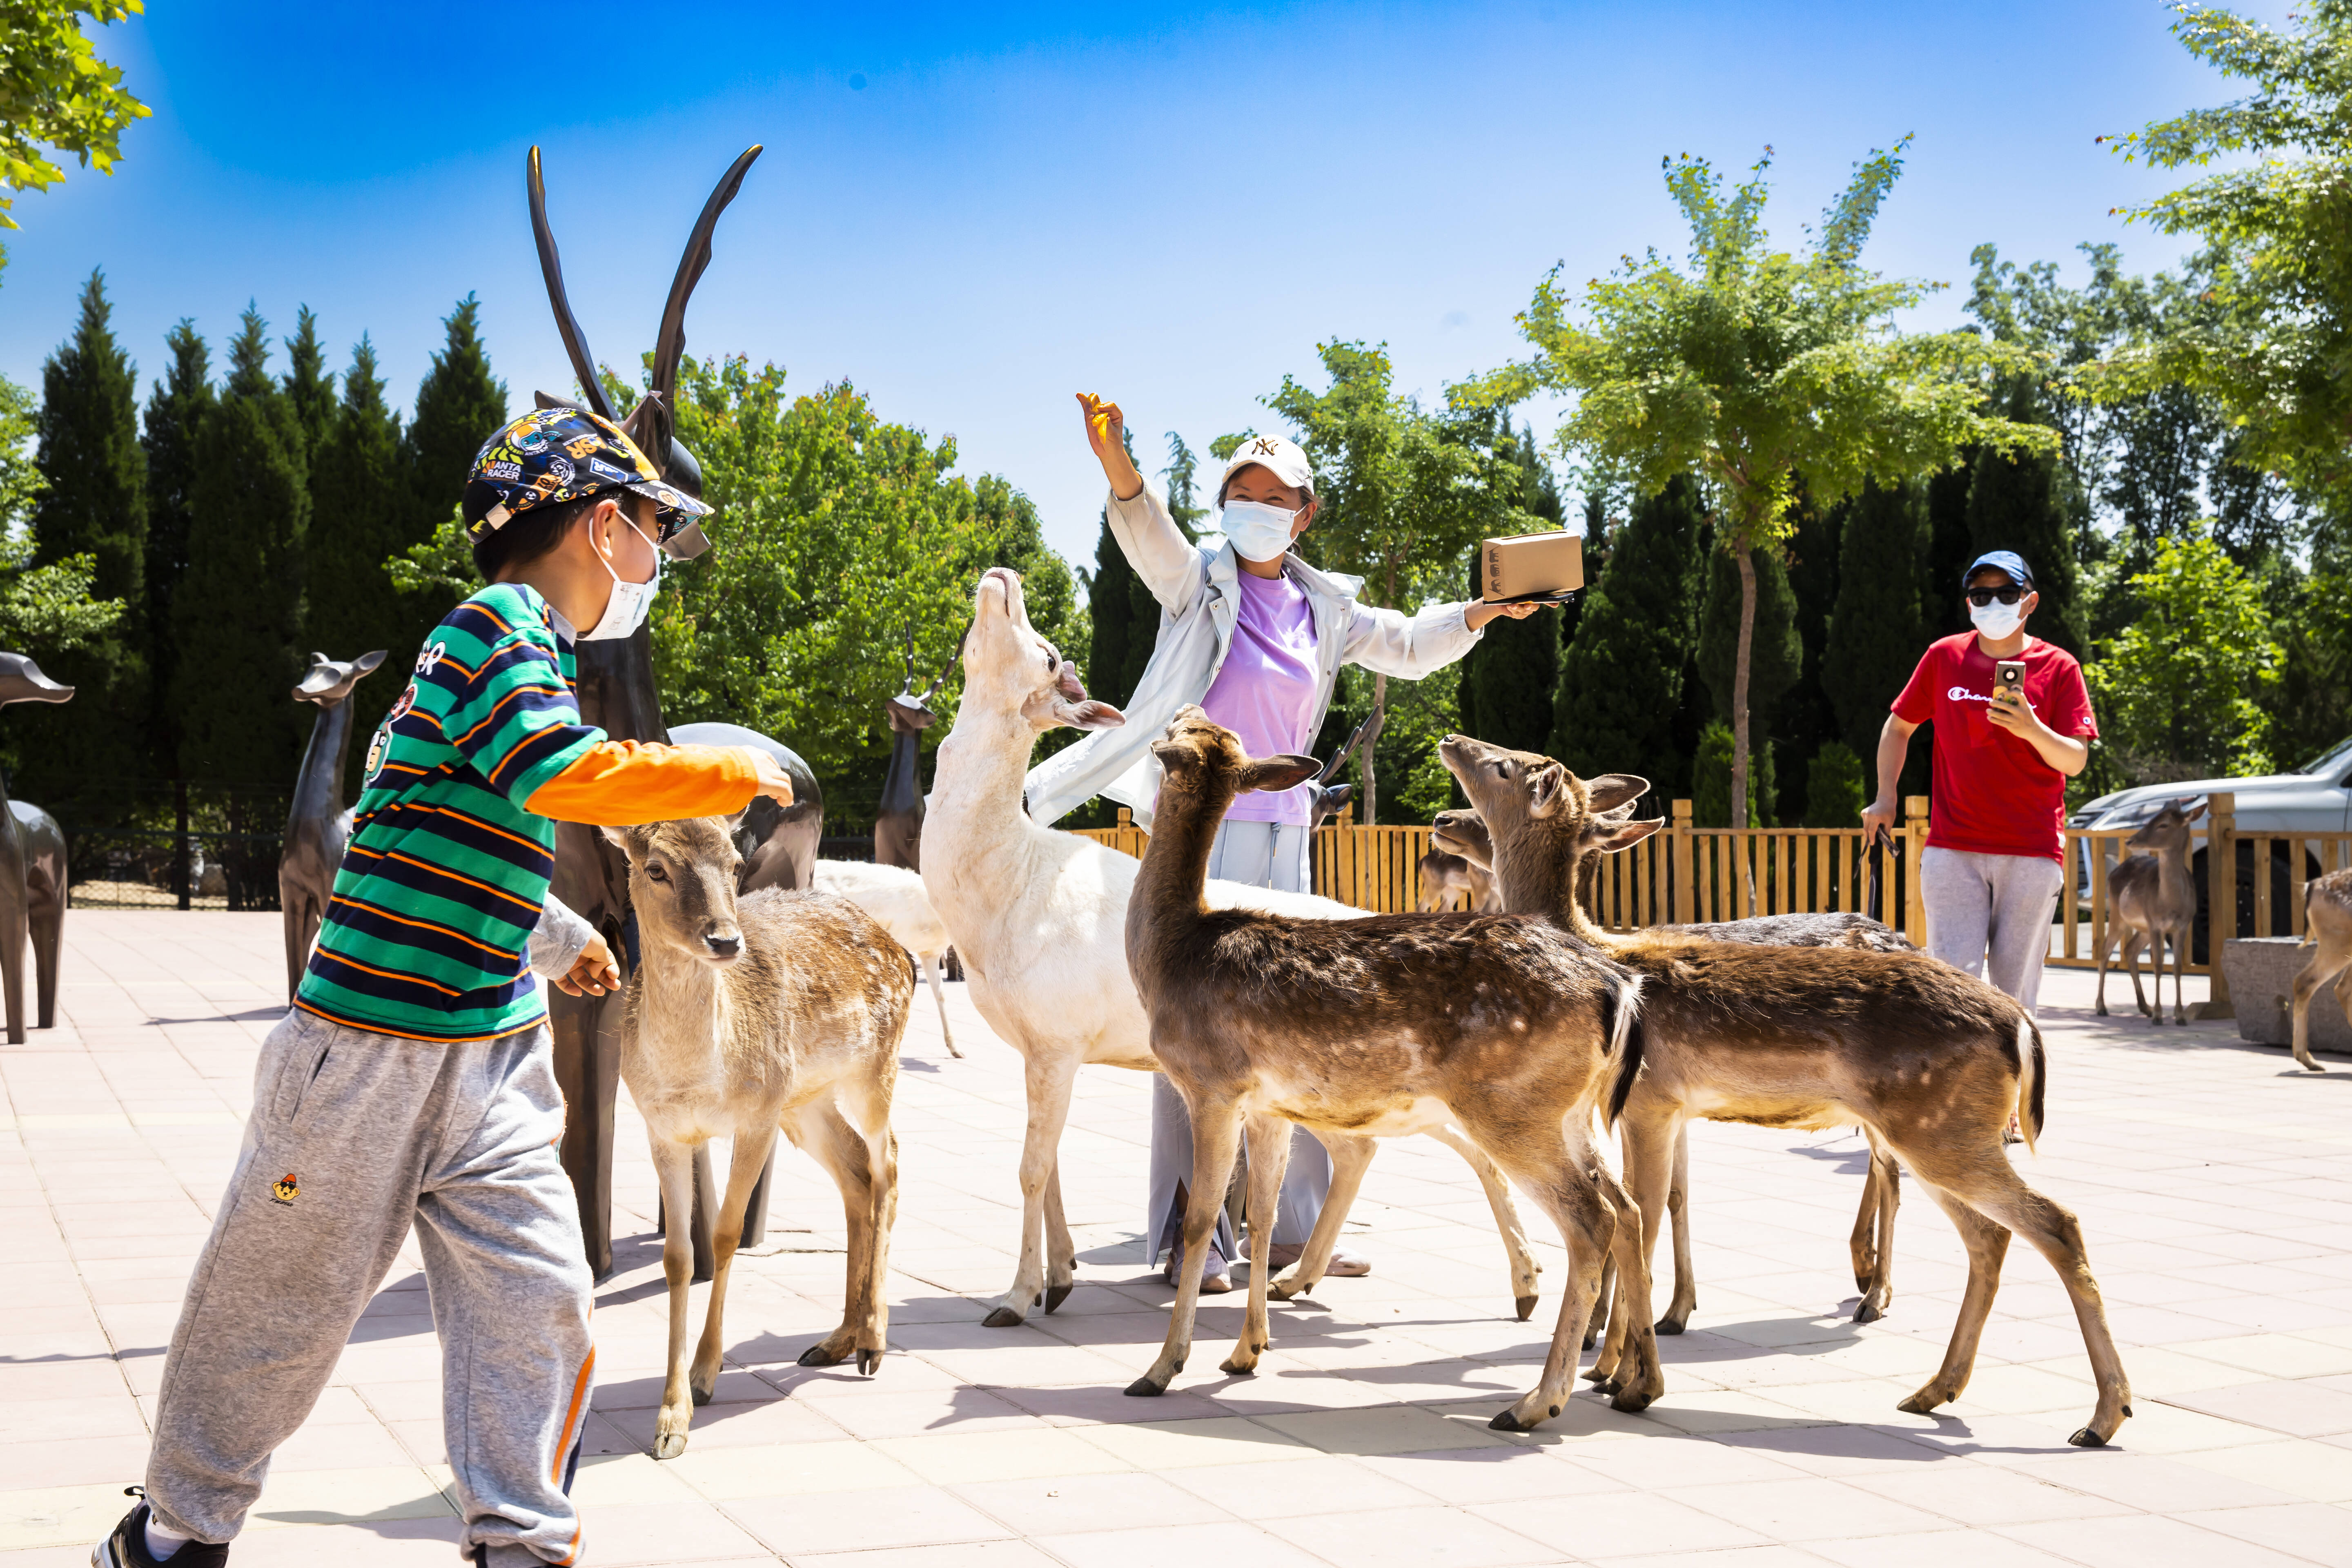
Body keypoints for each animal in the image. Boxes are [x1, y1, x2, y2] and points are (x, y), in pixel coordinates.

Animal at [600, 816, 911, 1460]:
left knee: (889, 1163)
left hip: (872, 1070)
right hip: (807, 1100)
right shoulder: (662, 1128)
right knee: (856, 1174)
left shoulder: (757, 1117)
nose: (724, 940)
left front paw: (705, 1376)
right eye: (655, 868)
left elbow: (724, 1237)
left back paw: (873, 1341)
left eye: (737, 864)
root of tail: (904, 951)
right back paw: (836, 1340)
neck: (696, 1078)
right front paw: (670, 1419)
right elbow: (676, 1256)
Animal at [1125, 705, 1650, 1429]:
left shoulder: (1212, 1085)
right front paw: (1245, 1353)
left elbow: (1206, 1219)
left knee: (1592, 1220)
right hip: (1569, 1111)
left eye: (1190, 729)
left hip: (1514, 1106)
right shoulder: (1268, 1107)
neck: (1172, 953)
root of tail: (1618, 985)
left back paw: (1535, 1401)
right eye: (1213, 730)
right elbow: (1263, 1215)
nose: (1190, 707)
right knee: (1626, 1205)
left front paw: (1162, 1368)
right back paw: (1633, 1382)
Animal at [1442, 734, 2133, 1448]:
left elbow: (1644, 1218)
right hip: (1940, 1131)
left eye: (1504, 766)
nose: (1453, 744)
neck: (1599, 947)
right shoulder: (1661, 1110)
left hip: (1940, 1129)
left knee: (2055, 1222)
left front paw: (1618, 1372)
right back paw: (1934, 1390)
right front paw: (1629, 1355)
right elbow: (1657, 1210)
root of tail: (2019, 1024)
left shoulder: (1652, 1101)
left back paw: (2101, 1415)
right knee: (1989, 1236)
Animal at [2096, 798, 2202, 1026]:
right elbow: (2158, 965)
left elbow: (2178, 967)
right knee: (2106, 951)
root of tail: (2115, 871)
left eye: (2163, 824)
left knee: (2130, 950)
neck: (2171, 903)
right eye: (2152, 818)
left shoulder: (2183, 925)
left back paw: (2144, 1007)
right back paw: (2101, 1007)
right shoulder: (2156, 924)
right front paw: (2159, 1015)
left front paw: (2180, 1016)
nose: (2130, 840)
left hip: (2143, 927)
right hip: (2119, 916)